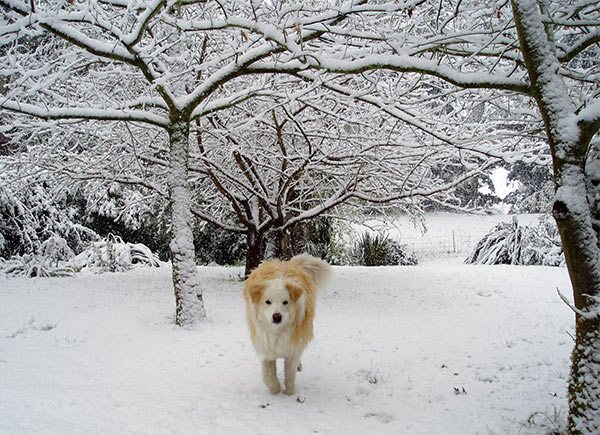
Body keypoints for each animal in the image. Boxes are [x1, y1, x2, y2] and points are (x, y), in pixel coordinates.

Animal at [243, 254, 332, 396]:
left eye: (285, 302)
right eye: (268, 302)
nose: (277, 316)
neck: (278, 331)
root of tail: (289, 263)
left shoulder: (292, 348)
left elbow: (290, 374)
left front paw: (289, 393)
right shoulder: (266, 346)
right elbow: (267, 375)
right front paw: (275, 389)